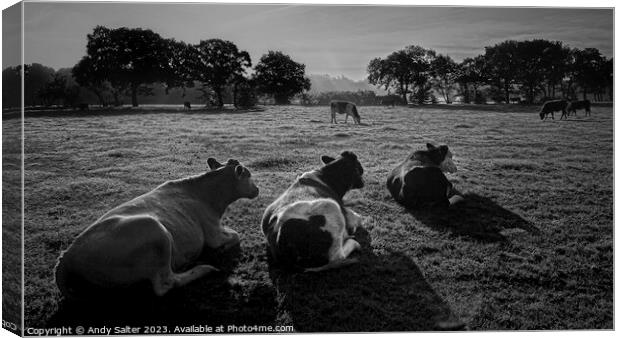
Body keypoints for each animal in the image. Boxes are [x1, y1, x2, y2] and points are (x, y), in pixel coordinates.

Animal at [52, 157, 258, 300]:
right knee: (166, 284)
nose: (257, 189)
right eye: (248, 175)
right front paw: (222, 249)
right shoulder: (212, 232)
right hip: (155, 231)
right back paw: (202, 268)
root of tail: (68, 254)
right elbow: (235, 235)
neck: (210, 197)